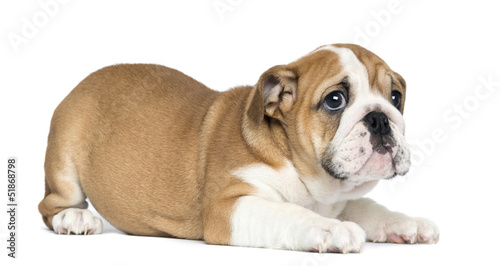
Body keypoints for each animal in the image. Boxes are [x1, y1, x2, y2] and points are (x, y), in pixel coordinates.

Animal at [39, 43, 438, 254]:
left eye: (395, 97)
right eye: (335, 100)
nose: (380, 118)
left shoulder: (339, 199)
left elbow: (367, 207)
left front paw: (405, 222)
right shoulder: (230, 207)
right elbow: (289, 214)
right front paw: (329, 230)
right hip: (64, 162)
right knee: (51, 205)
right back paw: (74, 218)